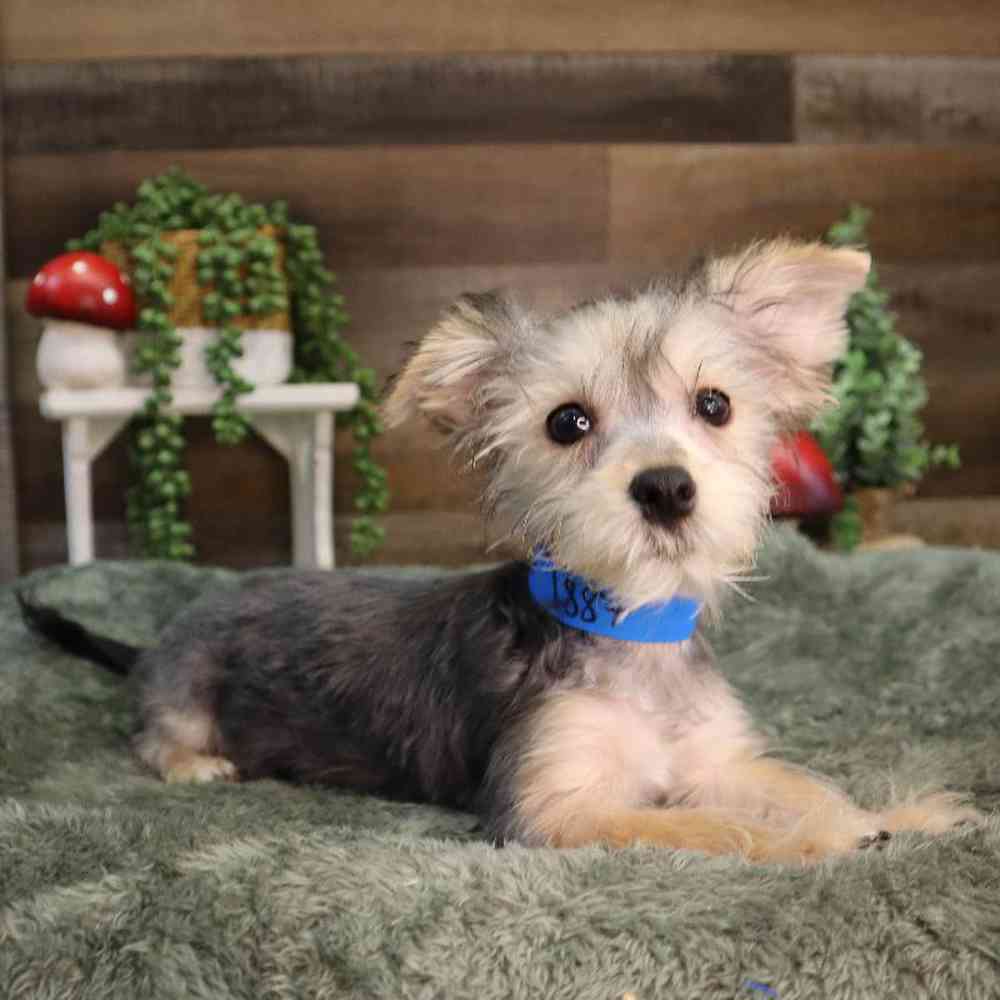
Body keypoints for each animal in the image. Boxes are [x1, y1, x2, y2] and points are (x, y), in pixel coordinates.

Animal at [131, 238, 979, 862]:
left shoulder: (717, 762)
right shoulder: (553, 809)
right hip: (182, 693)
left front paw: (895, 816)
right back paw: (194, 764)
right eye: (566, 422)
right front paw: (825, 840)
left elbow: (799, 785)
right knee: (152, 739)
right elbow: (710, 826)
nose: (665, 488)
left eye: (715, 405)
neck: (632, 626)